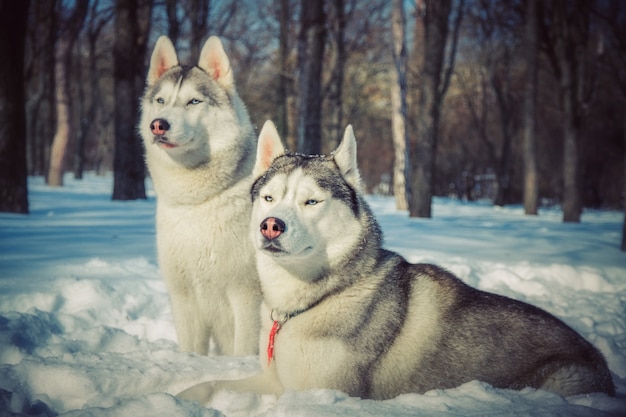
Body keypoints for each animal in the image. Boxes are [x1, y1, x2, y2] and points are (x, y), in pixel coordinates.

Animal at [139, 35, 258, 354]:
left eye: (194, 101)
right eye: (161, 101)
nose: (158, 124)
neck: (197, 203)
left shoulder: (247, 298)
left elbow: (245, 350)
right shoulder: (184, 299)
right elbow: (190, 350)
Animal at [178, 122, 612, 402]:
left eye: (311, 201)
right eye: (269, 198)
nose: (271, 226)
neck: (315, 298)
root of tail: (604, 367)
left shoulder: (317, 393)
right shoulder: (277, 381)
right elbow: (208, 385)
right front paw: (181, 397)